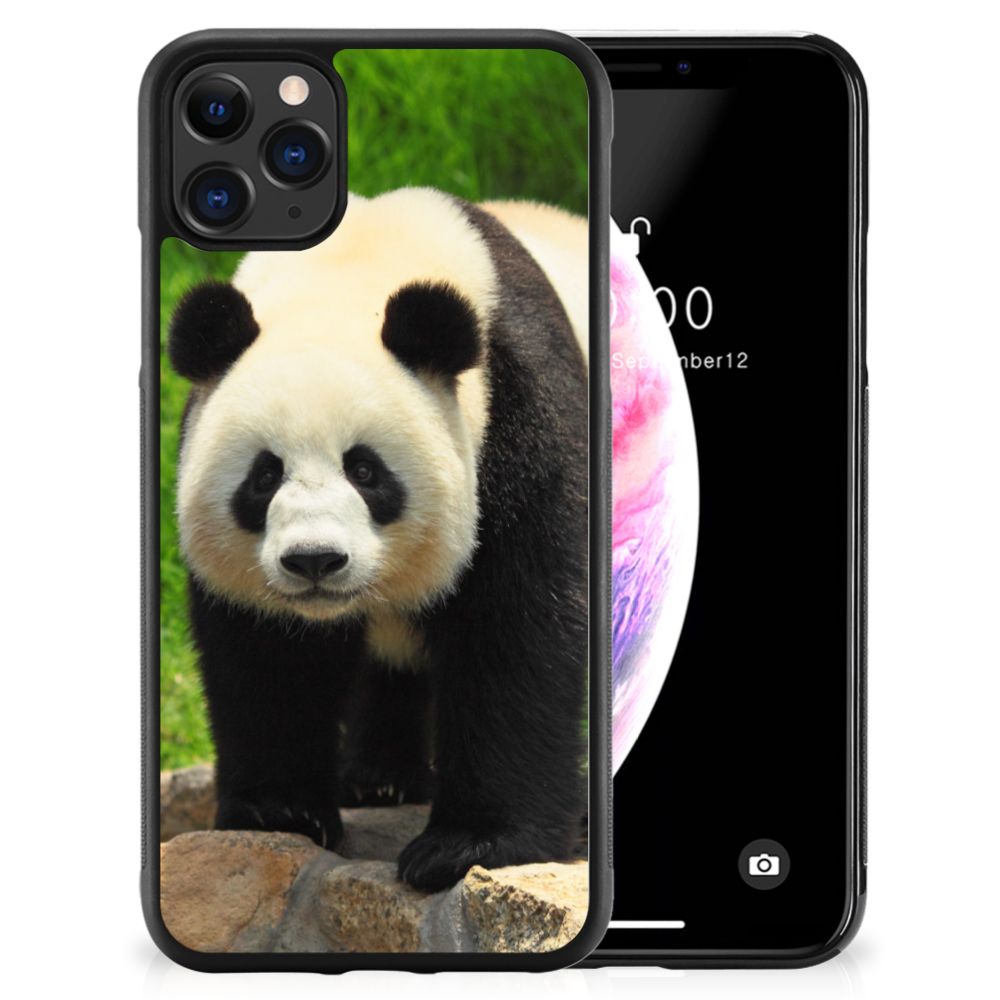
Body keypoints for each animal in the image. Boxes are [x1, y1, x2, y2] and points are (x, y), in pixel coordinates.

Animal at [168, 187, 589, 892]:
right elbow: (266, 654)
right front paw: (279, 811)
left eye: (365, 471)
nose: (314, 561)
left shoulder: (521, 416)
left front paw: (469, 845)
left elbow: (519, 628)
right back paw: (379, 779)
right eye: (264, 475)